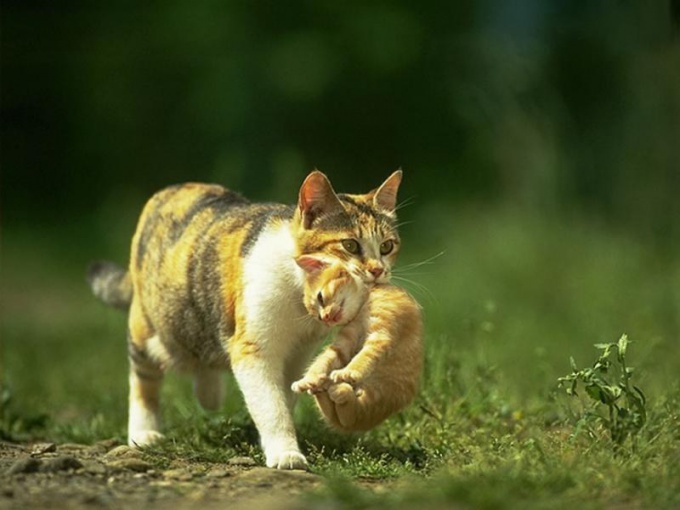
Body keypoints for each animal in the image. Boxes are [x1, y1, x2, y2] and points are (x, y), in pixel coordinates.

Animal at [87, 169, 402, 468]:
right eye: (350, 245)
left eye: (387, 246)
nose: (377, 270)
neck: (298, 297)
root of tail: (169, 190)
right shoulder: (254, 348)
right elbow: (272, 406)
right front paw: (286, 453)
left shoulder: (299, 354)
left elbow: (284, 397)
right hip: (151, 329)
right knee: (144, 376)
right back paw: (143, 434)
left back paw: (209, 394)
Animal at [290, 258, 422, 430]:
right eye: (317, 317)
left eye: (320, 298)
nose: (325, 318)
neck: (368, 297)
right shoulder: (345, 340)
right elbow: (326, 358)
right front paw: (308, 379)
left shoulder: (380, 336)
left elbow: (364, 356)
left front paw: (348, 372)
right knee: (341, 418)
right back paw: (321, 388)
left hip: (378, 395)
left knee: (353, 414)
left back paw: (340, 390)